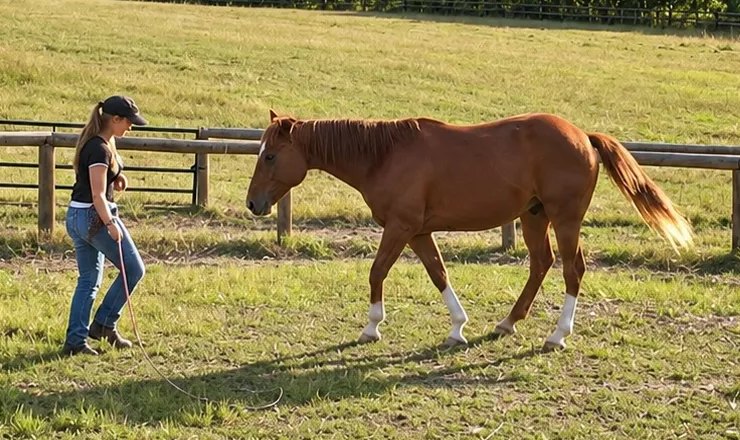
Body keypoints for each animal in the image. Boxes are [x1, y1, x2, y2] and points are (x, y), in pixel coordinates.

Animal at [246, 110, 692, 350]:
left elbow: (377, 272)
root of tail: (583, 136)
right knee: (541, 263)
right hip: (534, 216)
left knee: (572, 270)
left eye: (270, 156)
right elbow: (438, 273)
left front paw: (371, 327)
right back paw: (508, 322)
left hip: (565, 219)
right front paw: (457, 328)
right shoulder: (417, 232)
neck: (384, 155)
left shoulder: (400, 228)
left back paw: (557, 336)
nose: (252, 204)